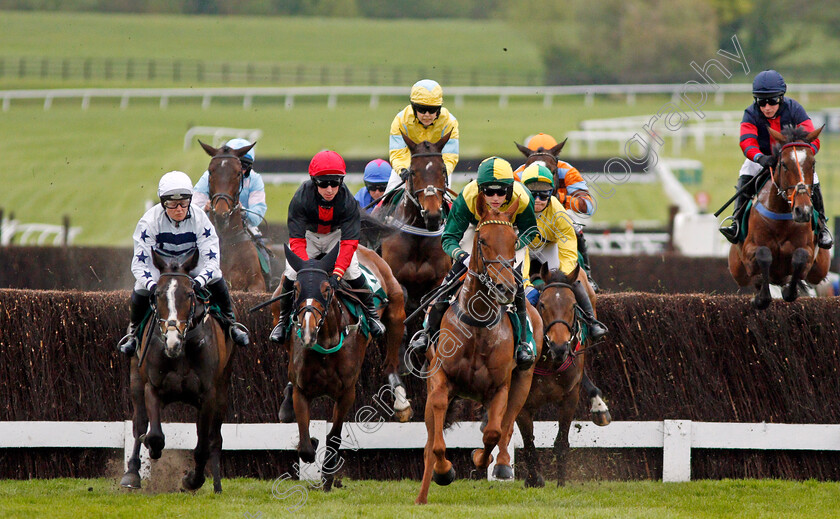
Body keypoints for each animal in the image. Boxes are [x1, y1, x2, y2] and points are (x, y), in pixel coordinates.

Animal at [120, 250, 236, 494]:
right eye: (157, 295)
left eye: (190, 294)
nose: (172, 341)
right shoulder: (151, 387)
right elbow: (154, 435)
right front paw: (153, 451)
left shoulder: (209, 395)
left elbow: (203, 446)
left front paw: (193, 480)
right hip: (135, 379)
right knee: (139, 424)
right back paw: (132, 473)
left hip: (223, 389)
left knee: (215, 438)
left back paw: (217, 485)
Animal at [416, 194, 544, 504]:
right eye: (483, 240)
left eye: (513, 240)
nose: (504, 287)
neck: (478, 323)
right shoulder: (440, 378)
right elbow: (437, 442)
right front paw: (444, 471)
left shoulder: (499, 388)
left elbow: (493, 432)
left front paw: (480, 460)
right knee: (430, 440)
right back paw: (423, 495)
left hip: (523, 380)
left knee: (507, 425)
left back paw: (502, 465)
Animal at [728, 126, 828, 310]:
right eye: (784, 164)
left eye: (813, 163)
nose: (803, 211)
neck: (781, 218)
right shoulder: (749, 251)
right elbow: (763, 254)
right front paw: (759, 299)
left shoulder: (808, 253)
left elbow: (800, 257)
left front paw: (789, 291)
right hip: (737, 269)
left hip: (820, 269)